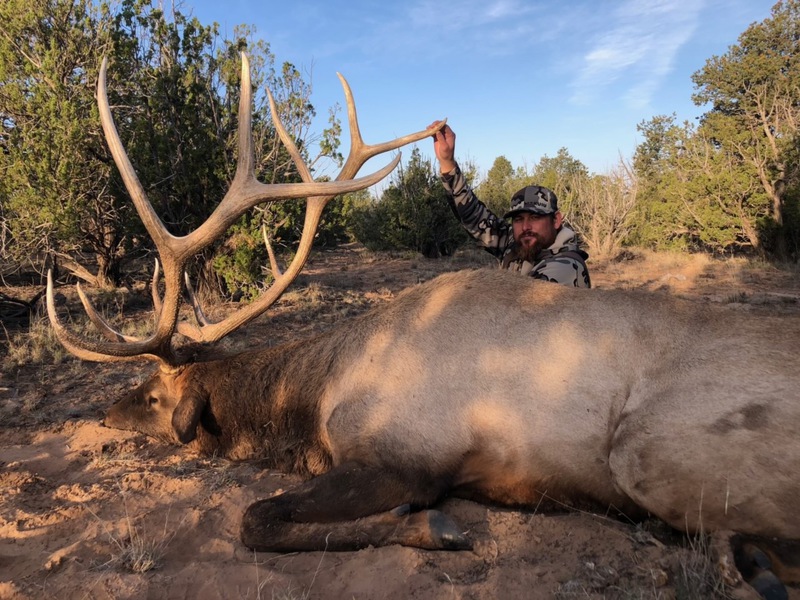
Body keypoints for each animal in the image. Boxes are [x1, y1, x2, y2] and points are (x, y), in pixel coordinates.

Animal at [48, 54, 800, 596]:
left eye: (152, 396)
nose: (102, 416)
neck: (311, 402)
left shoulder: (406, 457)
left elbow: (255, 517)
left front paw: (435, 530)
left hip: (647, 451)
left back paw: (751, 563)